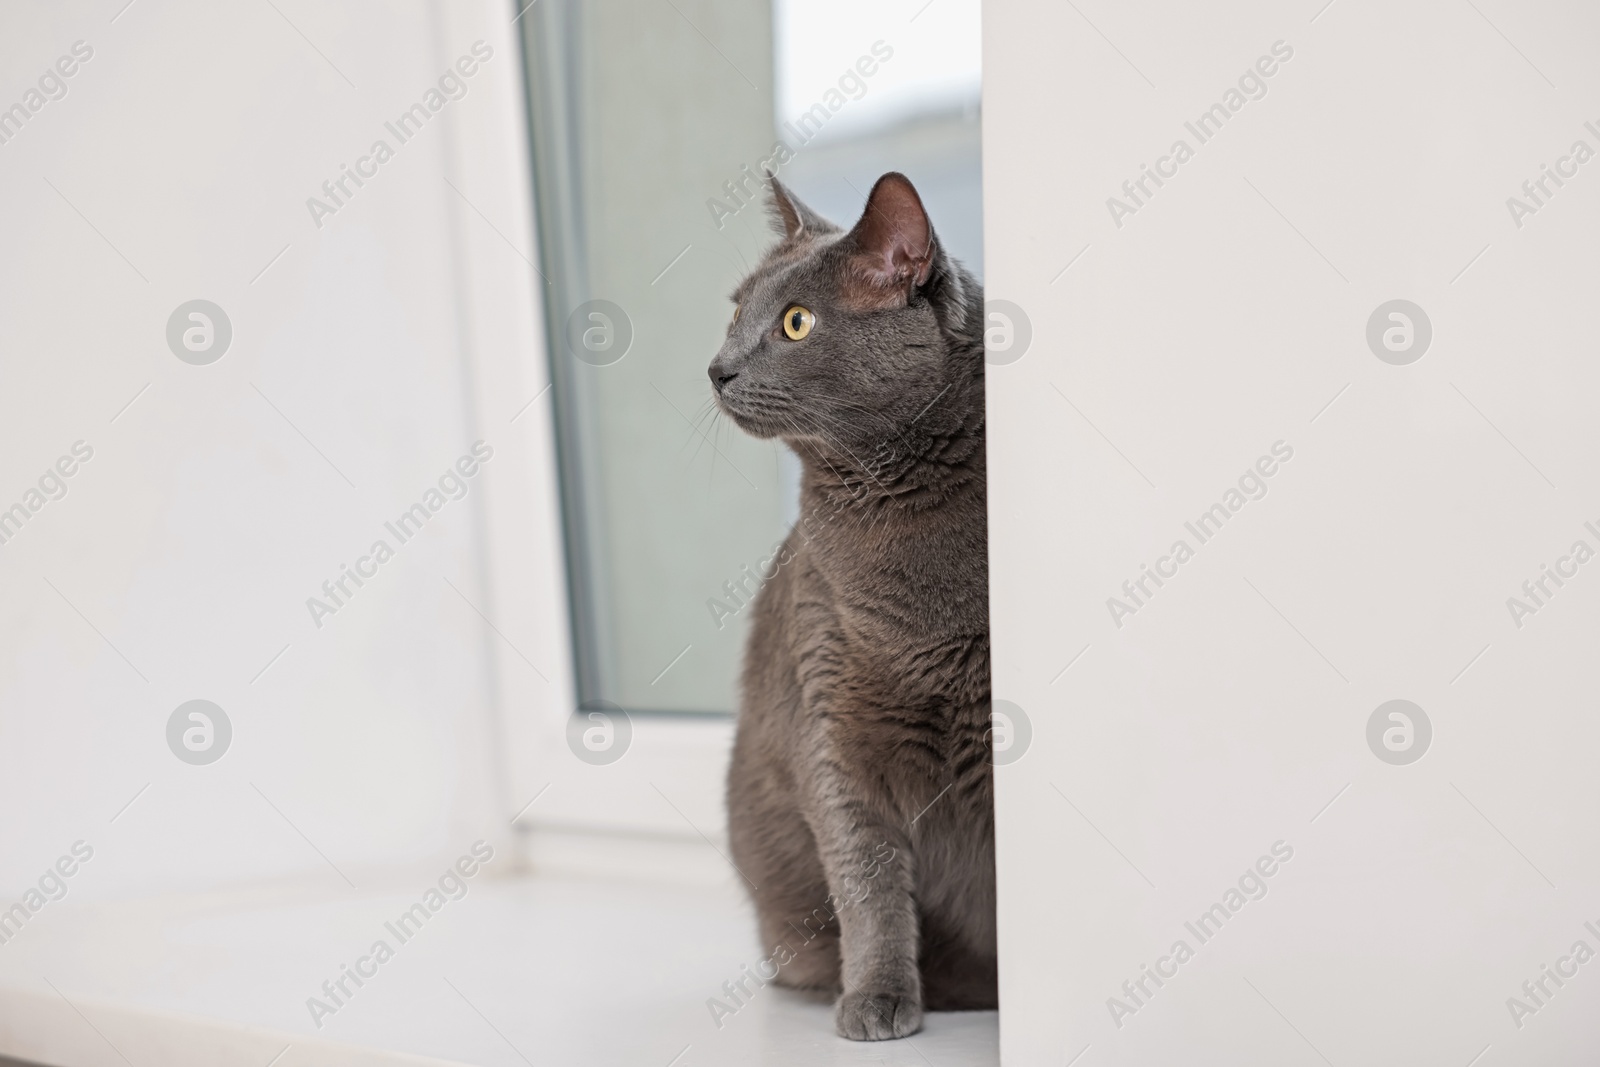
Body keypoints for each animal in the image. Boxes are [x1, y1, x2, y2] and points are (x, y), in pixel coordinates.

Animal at [710, 171, 992, 1036]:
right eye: (734, 311)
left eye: (796, 323)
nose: (717, 367)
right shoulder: (828, 715)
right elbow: (866, 878)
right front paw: (878, 998)